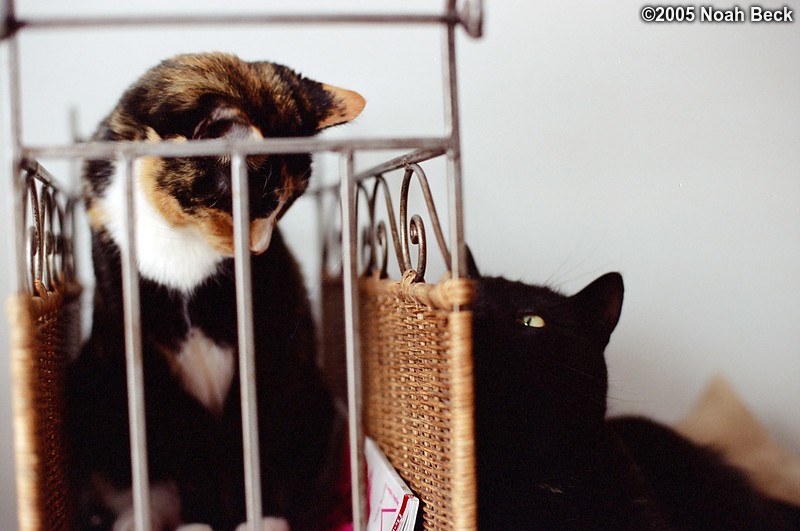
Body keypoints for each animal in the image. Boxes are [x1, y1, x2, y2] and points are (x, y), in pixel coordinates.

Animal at [66, 53, 366, 531]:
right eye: (256, 205)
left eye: (286, 207)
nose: (259, 248)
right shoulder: (154, 363)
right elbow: (190, 452)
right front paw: (198, 520)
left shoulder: (270, 344)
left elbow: (257, 438)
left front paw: (262, 517)